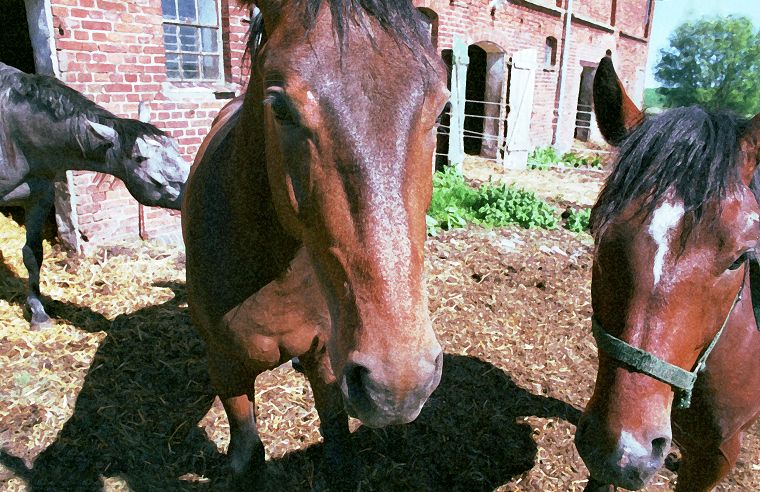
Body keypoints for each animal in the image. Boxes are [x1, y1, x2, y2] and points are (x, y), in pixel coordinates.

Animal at [0, 62, 189, 330]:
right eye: (139, 158)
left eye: (174, 147)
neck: (13, 134)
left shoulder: (39, 199)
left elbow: (33, 254)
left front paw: (38, 313)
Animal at [181, 0, 448, 484]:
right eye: (280, 107)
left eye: (441, 109)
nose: (398, 384)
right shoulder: (226, 370)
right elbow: (247, 453)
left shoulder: (327, 357)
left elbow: (338, 441)